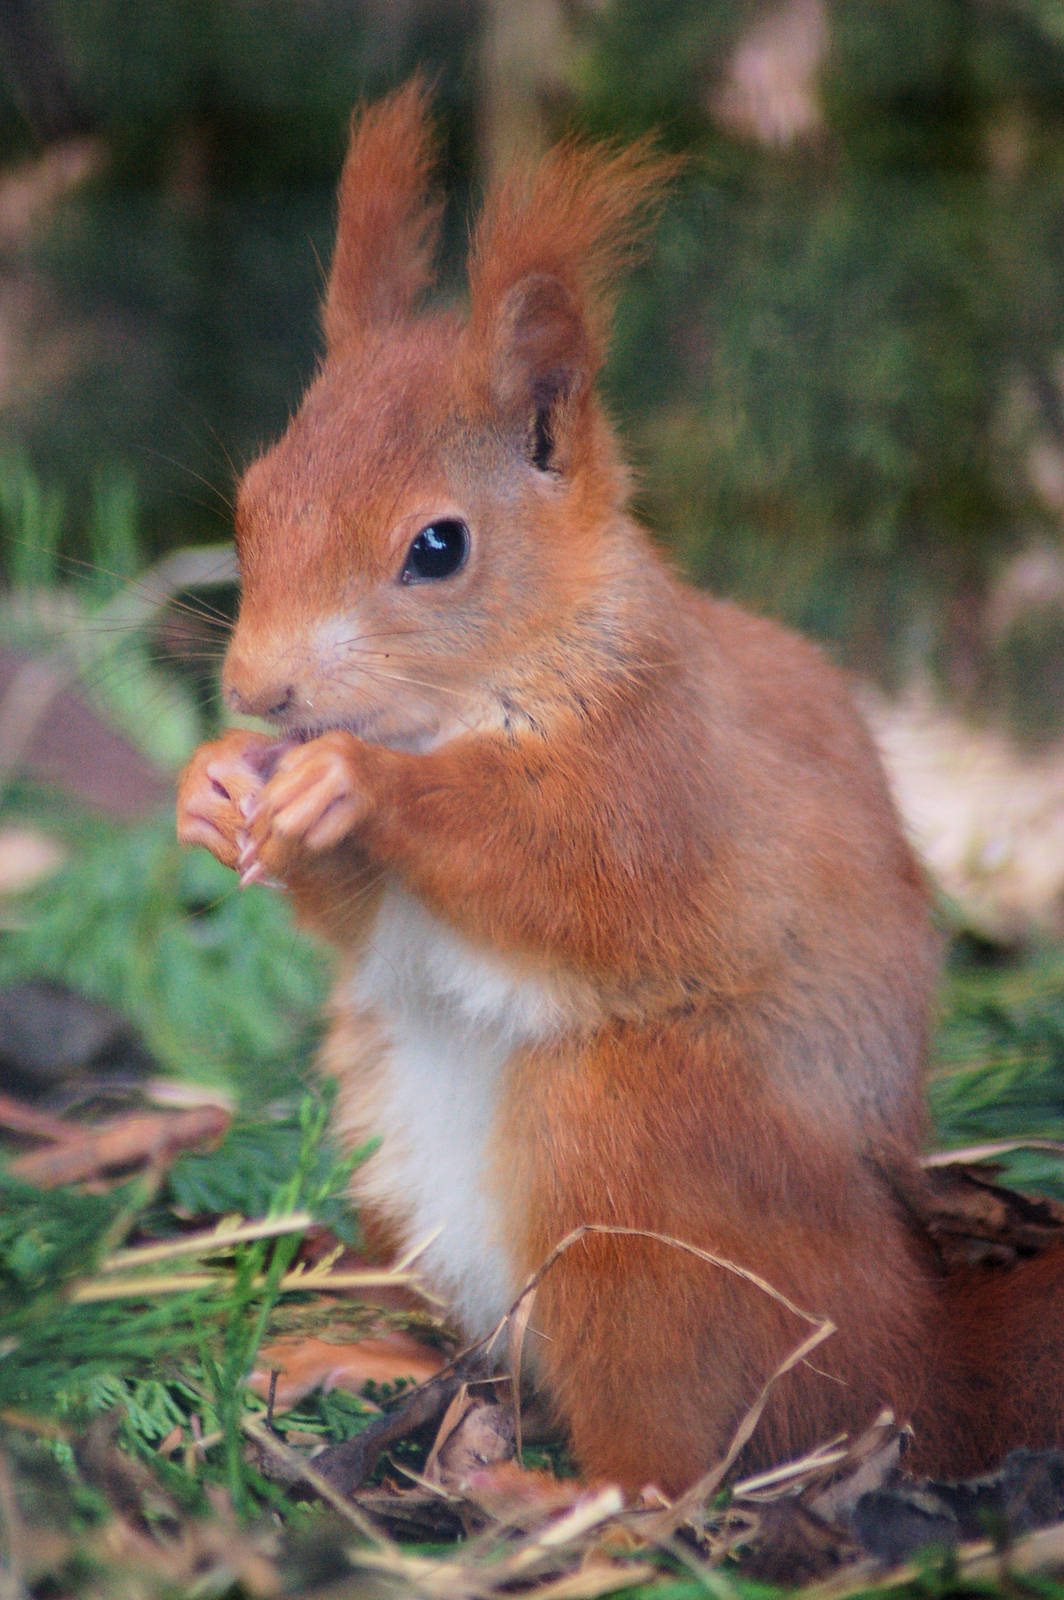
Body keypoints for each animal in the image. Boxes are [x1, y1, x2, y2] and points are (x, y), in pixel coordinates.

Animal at [176, 79, 1064, 1496]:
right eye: (256, 500)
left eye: (439, 546)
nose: (259, 693)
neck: (482, 695)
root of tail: (911, 1364)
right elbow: (359, 919)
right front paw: (213, 785)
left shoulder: (662, 771)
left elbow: (575, 872)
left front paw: (356, 783)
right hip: (394, 1135)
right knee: (498, 1348)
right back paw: (366, 1360)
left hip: (635, 1160)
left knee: (665, 1451)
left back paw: (554, 1491)